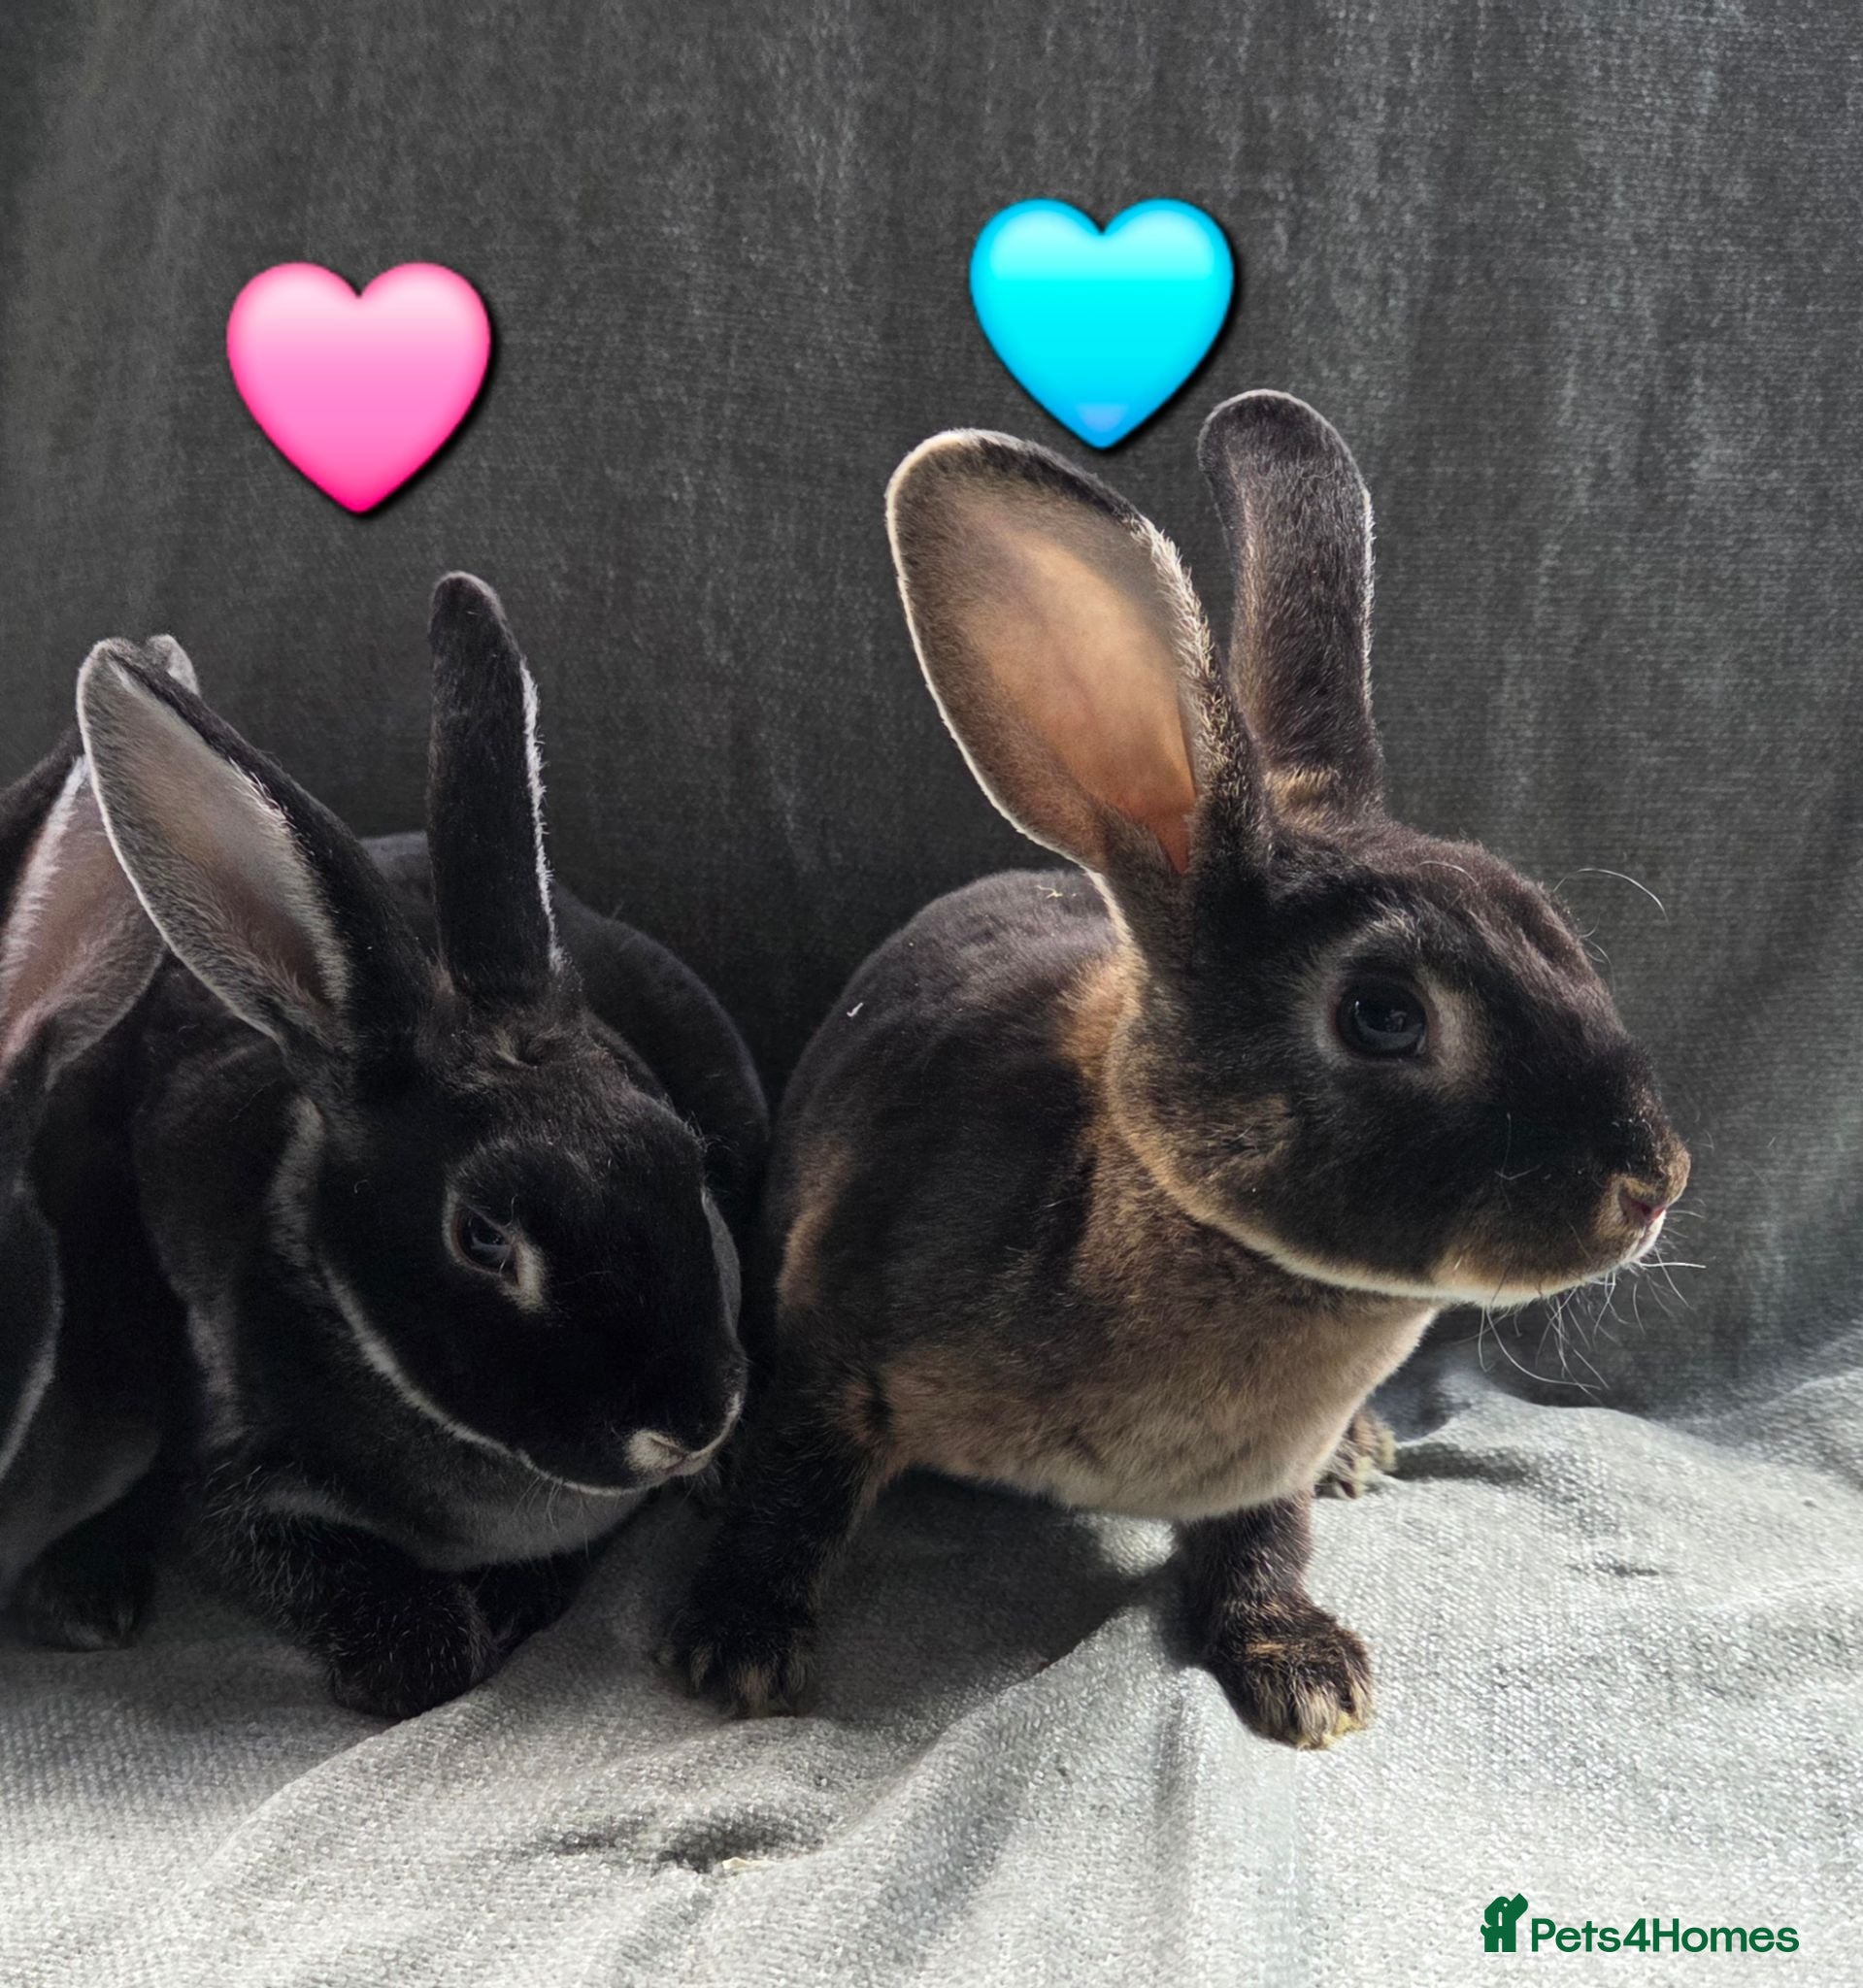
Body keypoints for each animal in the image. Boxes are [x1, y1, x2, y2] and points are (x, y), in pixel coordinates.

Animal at [75, 574, 768, 1718]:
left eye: (687, 1161)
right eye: (482, 1238)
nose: (697, 1417)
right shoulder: (223, 1482)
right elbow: (416, 1651)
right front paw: (426, 1643)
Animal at [664, 392, 1690, 1749]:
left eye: (1556, 931)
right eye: (1380, 1014)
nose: (1655, 1181)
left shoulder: (1257, 1474)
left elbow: (1265, 1542)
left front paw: (1307, 1671)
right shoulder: (836, 1340)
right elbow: (796, 1480)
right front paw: (733, 1646)